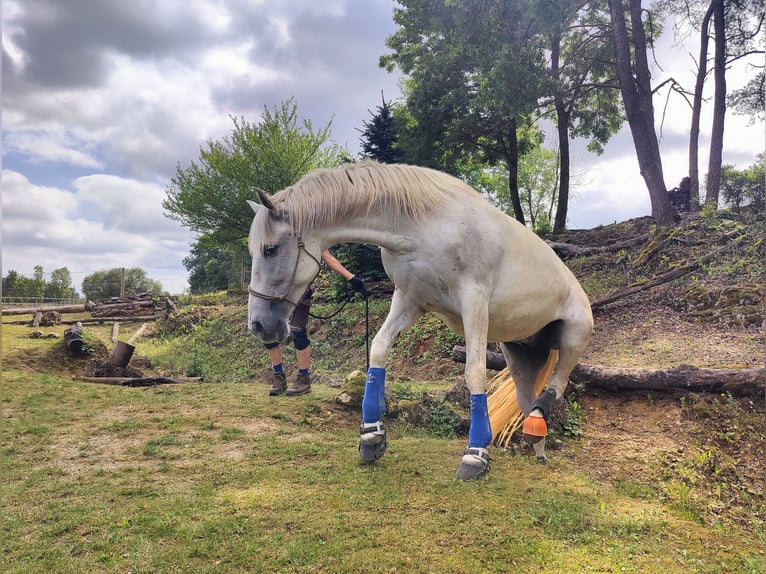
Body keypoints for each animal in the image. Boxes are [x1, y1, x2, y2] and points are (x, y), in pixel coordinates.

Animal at [247, 161, 593, 480]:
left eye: (270, 249)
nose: (258, 325)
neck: (428, 228)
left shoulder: (475, 304)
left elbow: (475, 372)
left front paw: (475, 453)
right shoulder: (408, 300)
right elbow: (378, 351)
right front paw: (371, 434)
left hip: (573, 339)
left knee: (556, 386)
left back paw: (536, 422)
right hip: (520, 354)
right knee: (527, 398)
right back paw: (537, 444)